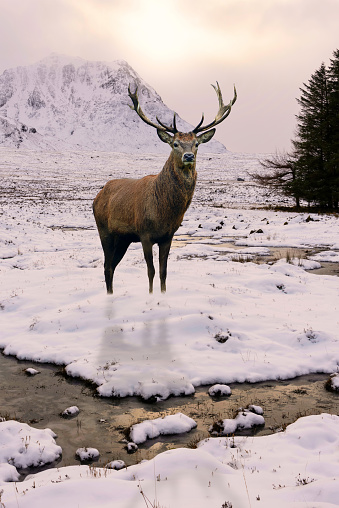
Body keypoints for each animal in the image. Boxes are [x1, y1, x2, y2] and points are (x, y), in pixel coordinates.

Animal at [91, 83, 238, 294]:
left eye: (196, 144)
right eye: (175, 143)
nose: (188, 156)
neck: (164, 211)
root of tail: (97, 196)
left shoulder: (168, 236)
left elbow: (163, 271)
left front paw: (163, 293)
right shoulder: (144, 233)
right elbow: (150, 270)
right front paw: (152, 295)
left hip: (123, 238)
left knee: (112, 265)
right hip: (104, 230)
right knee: (107, 266)